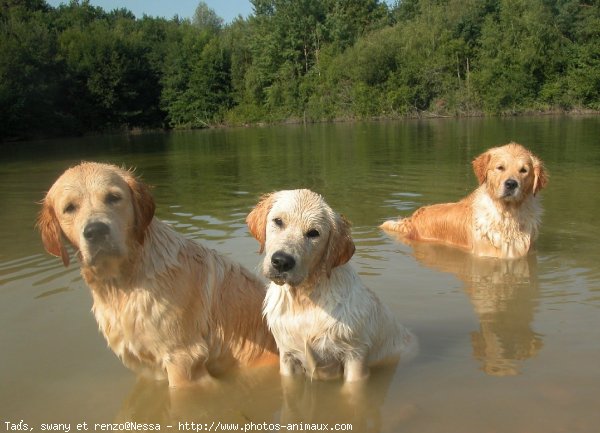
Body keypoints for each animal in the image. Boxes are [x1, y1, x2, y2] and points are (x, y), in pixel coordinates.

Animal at [38, 164, 278, 386]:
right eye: (69, 208)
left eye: (113, 197)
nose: (96, 230)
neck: (122, 285)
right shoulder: (145, 366)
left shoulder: (183, 359)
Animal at [246, 189, 414, 382]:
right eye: (278, 221)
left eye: (313, 233)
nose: (281, 261)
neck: (304, 300)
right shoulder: (287, 356)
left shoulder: (355, 355)